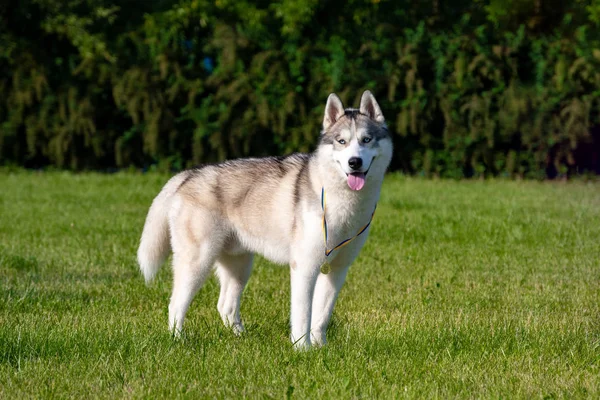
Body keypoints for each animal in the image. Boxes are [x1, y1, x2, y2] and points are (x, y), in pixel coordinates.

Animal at [138, 90, 396, 346]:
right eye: (342, 142)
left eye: (366, 140)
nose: (354, 162)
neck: (341, 201)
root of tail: (187, 175)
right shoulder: (304, 267)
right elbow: (303, 315)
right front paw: (302, 348)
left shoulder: (337, 269)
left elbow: (322, 316)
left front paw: (321, 347)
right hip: (197, 262)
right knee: (175, 304)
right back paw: (178, 340)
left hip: (240, 265)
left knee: (225, 305)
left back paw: (241, 338)